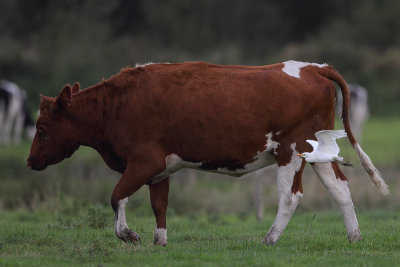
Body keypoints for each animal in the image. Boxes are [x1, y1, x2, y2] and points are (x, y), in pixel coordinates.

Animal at [25, 61, 388, 247]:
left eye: (42, 128)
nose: (30, 161)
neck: (117, 105)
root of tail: (313, 67)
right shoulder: (160, 169)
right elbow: (159, 204)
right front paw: (160, 240)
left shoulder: (143, 162)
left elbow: (117, 196)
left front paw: (128, 234)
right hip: (317, 150)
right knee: (340, 188)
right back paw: (354, 237)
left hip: (291, 150)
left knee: (291, 195)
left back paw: (269, 238)